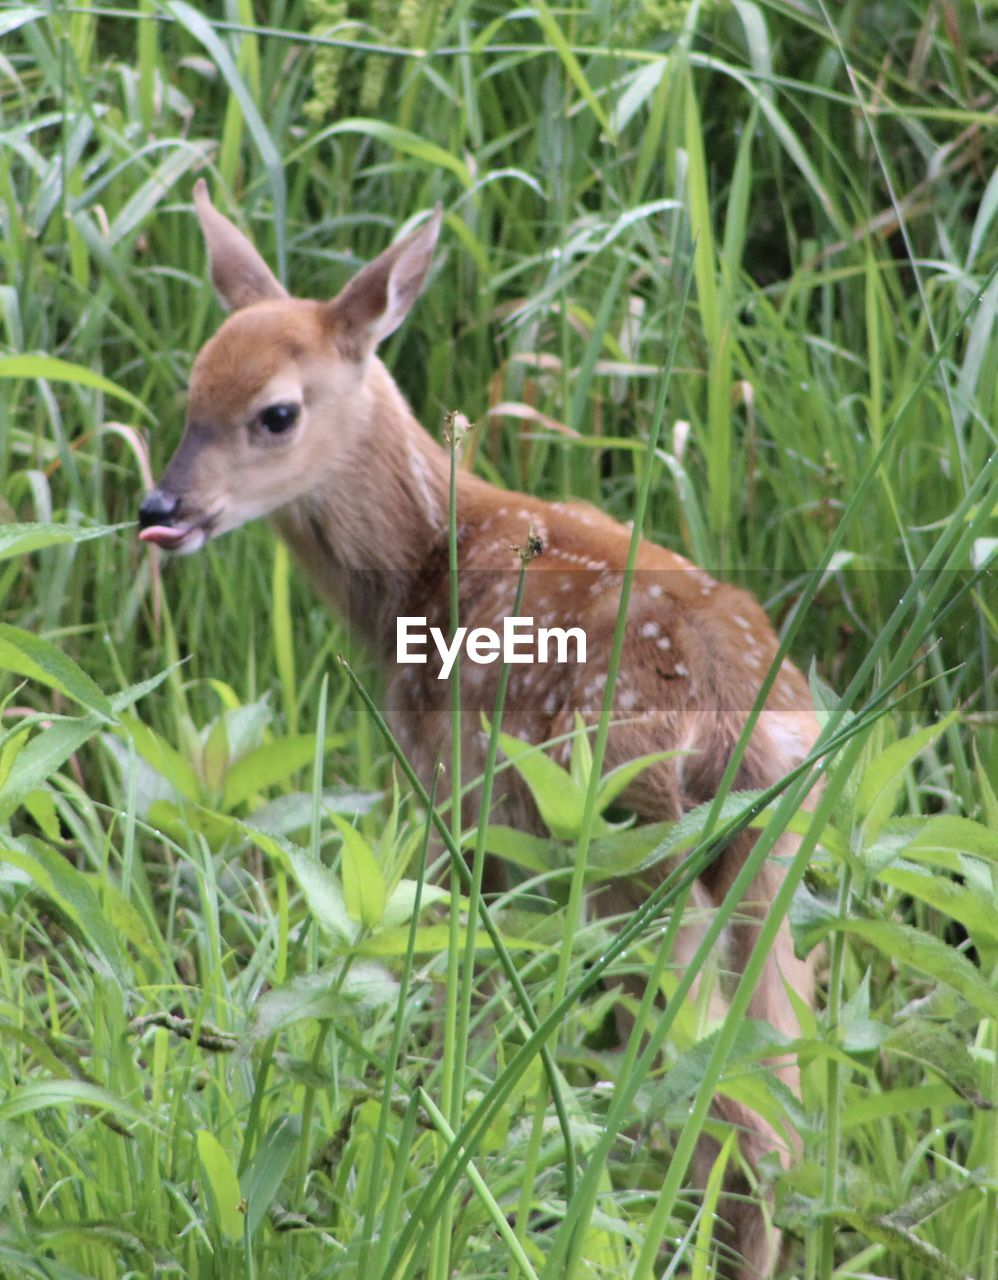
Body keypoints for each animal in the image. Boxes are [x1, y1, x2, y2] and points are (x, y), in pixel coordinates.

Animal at [140, 183, 813, 1280]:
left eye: (274, 412)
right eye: (189, 394)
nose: (163, 505)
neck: (423, 561)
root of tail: (740, 718)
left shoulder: (459, 805)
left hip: (626, 847)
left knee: (738, 1114)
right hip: (772, 860)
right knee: (784, 1095)